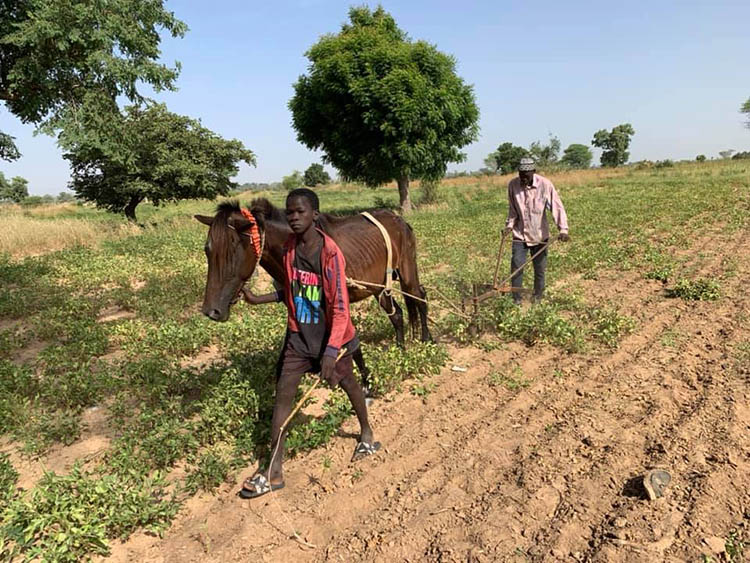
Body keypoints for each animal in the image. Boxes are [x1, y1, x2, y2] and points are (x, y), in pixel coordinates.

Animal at [197, 199, 432, 392]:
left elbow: (350, 344)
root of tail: (399, 219)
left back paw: (426, 340)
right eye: (208, 250)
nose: (211, 311)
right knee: (398, 314)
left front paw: (367, 383)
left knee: (419, 296)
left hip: (407, 271)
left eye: (232, 251)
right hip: (378, 285)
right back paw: (400, 350)